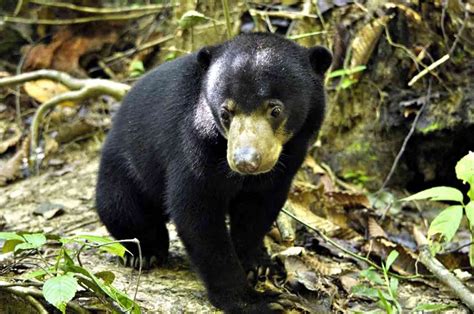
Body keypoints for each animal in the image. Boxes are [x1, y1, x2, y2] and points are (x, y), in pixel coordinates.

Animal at [96, 33, 332, 312]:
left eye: (275, 109)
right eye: (225, 112)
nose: (245, 161)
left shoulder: (289, 158)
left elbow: (259, 208)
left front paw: (257, 265)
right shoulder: (194, 144)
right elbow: (198, 214)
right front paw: (256, 300)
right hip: (124, 168)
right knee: (121, 208)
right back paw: (146, 253)